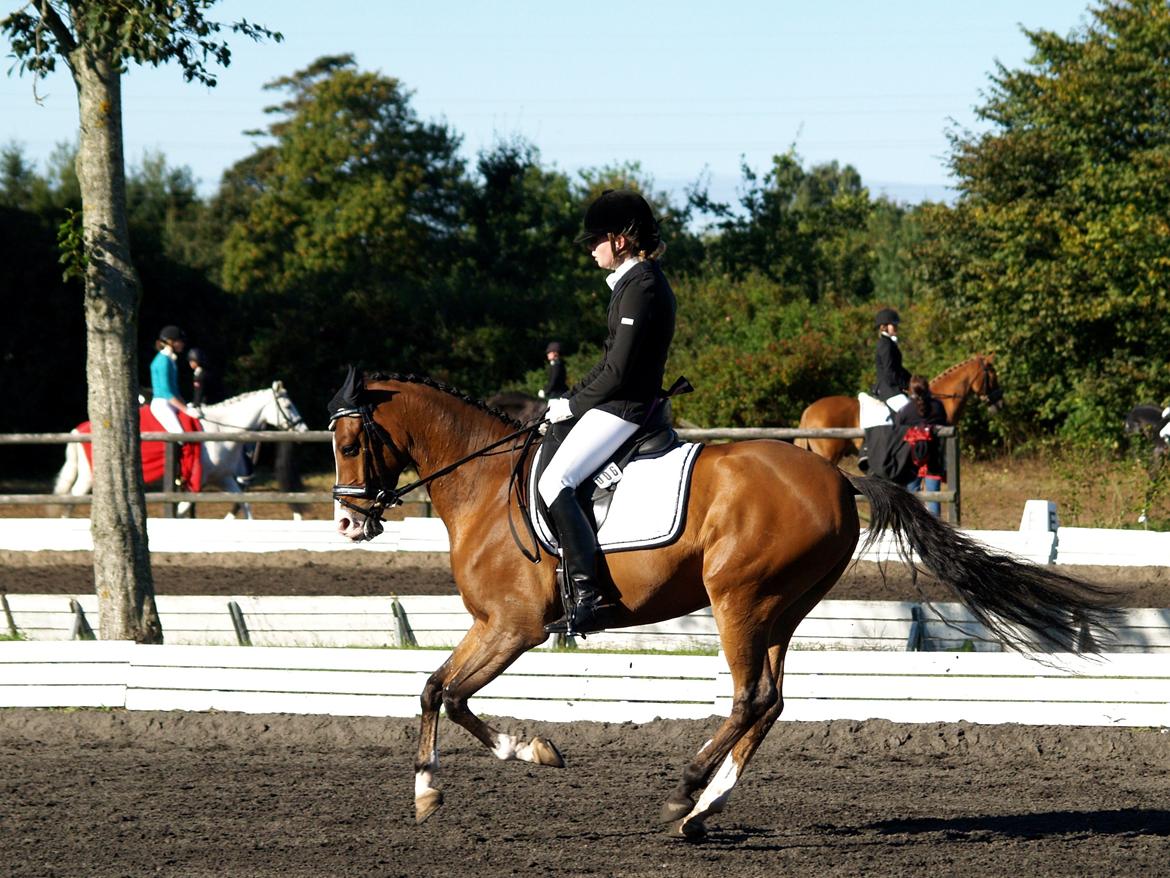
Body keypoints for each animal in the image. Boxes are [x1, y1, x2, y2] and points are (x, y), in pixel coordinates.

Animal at [54, 381, 307, 518]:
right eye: (287, 405)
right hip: (90, 476)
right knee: (71, 499)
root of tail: (78, 429)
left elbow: (245, 505)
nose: (303, 429)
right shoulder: (198, 480)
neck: (219, 429)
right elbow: (184, 508)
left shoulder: (223, 479)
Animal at [327, 370, 1116, 839]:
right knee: (769, 700)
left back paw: (685, 793)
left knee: (748, 698)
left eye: (349, 441)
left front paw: (493, 765)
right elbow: (437, 690)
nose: (347, 524)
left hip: (740, 599)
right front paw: (460, 780)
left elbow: (447, 693)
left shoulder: (513, 626)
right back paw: (706, 809)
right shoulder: (492, 625)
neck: (486, 485)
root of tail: (839, 479)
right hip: (780, 607)